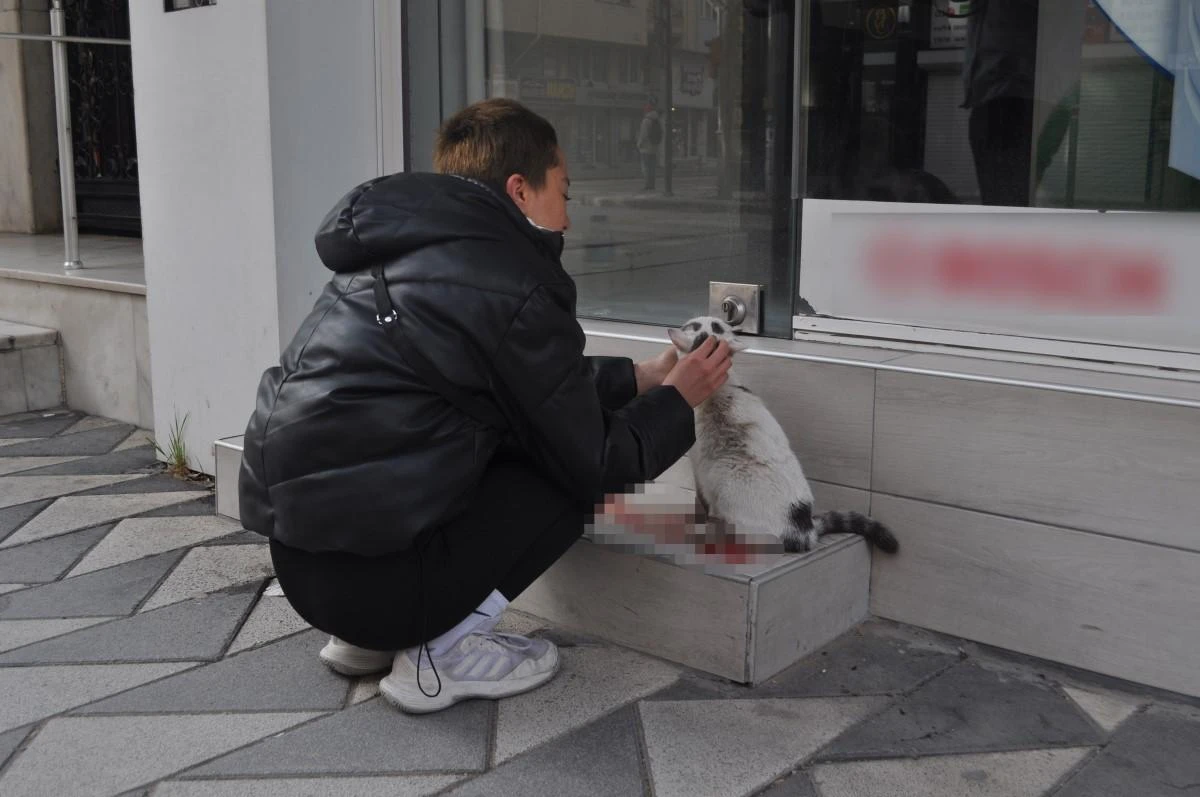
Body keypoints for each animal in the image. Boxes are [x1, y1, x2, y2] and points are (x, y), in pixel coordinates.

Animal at [672, 316, 897, 554]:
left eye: (714, 326)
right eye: (697, 325)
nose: (712, 318)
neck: (716, 392)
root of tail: (806, 532)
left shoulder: (699, 473)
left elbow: (702, 501)